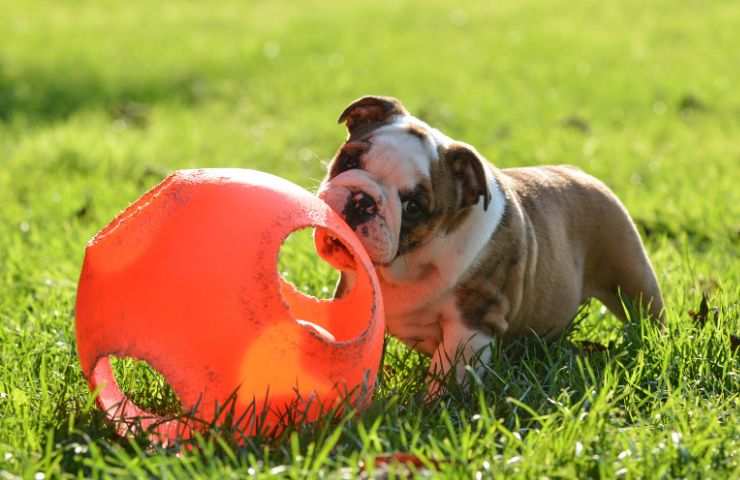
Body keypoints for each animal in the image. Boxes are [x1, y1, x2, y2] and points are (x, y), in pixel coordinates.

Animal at [316, 95, 660, 392]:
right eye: (349, 160)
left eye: (413, 206)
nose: (363, 201)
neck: (407, 262)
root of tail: (581, 173)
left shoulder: (471, 324)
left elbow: (447, 375)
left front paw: (435, 407)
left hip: (630, 276)